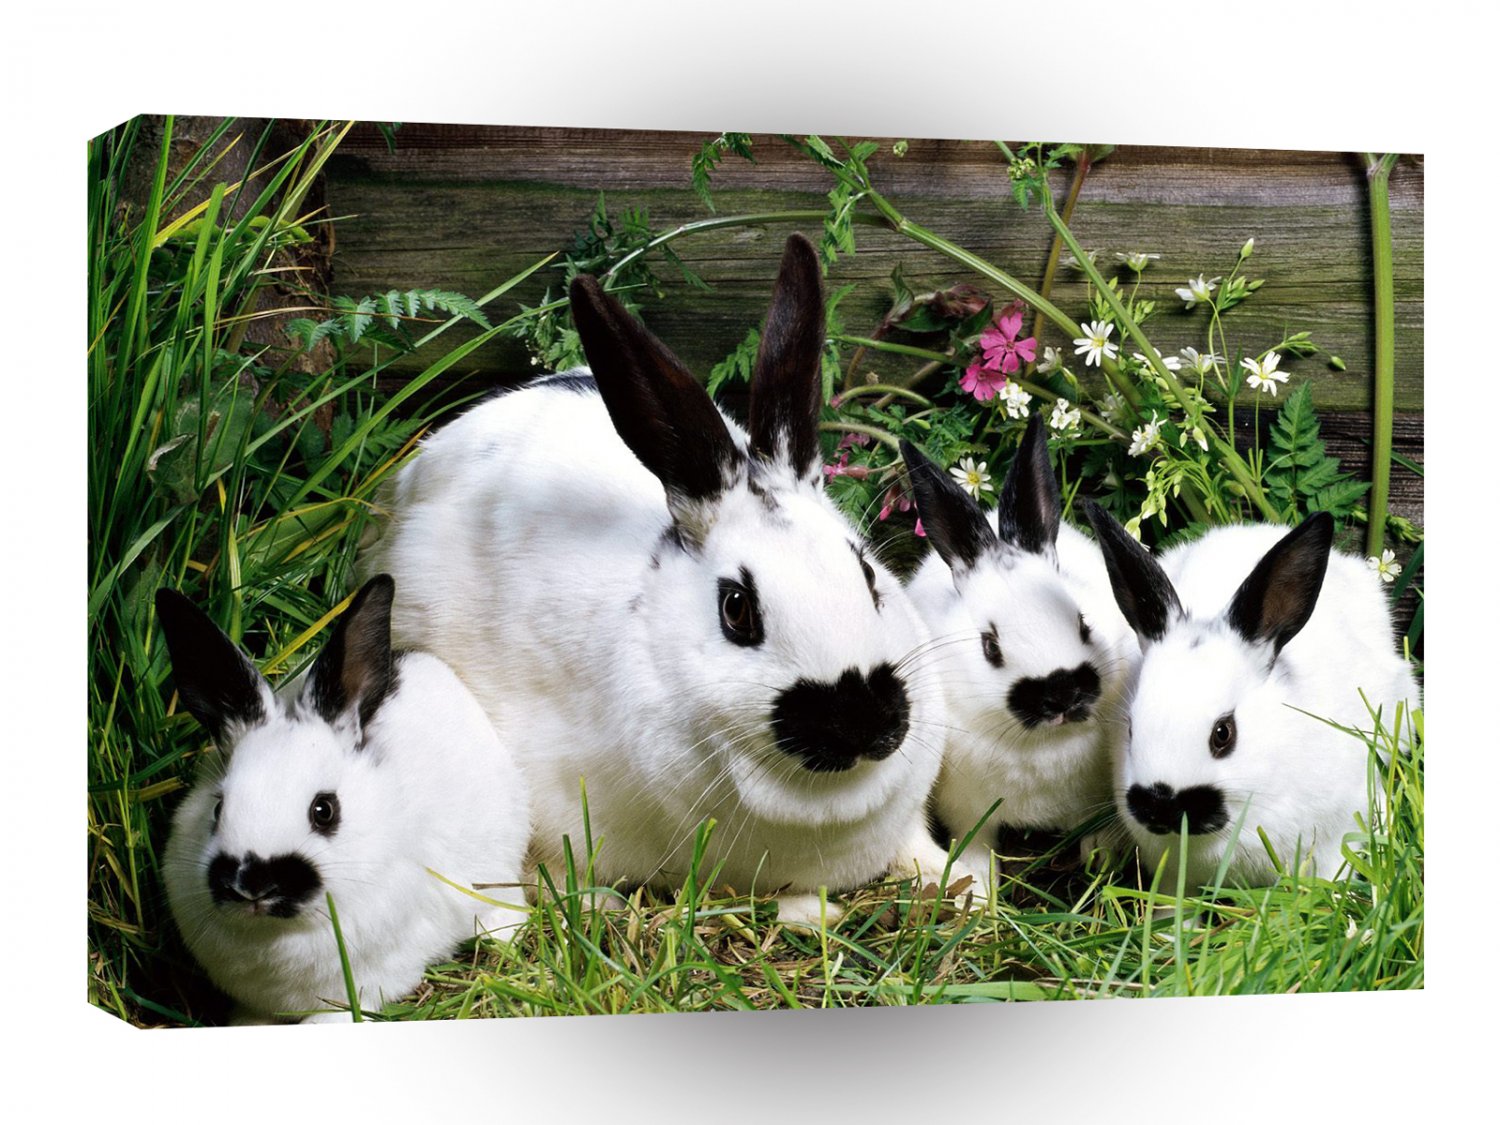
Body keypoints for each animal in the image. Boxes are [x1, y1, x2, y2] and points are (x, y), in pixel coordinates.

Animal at [900, 413, 1139, 879]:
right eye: (990, 647)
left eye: (1083, 623)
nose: (1061, 693)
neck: (1044, 745)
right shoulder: (969, 810)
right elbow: (976, 844)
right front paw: (977, 884)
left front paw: (1100, 857)